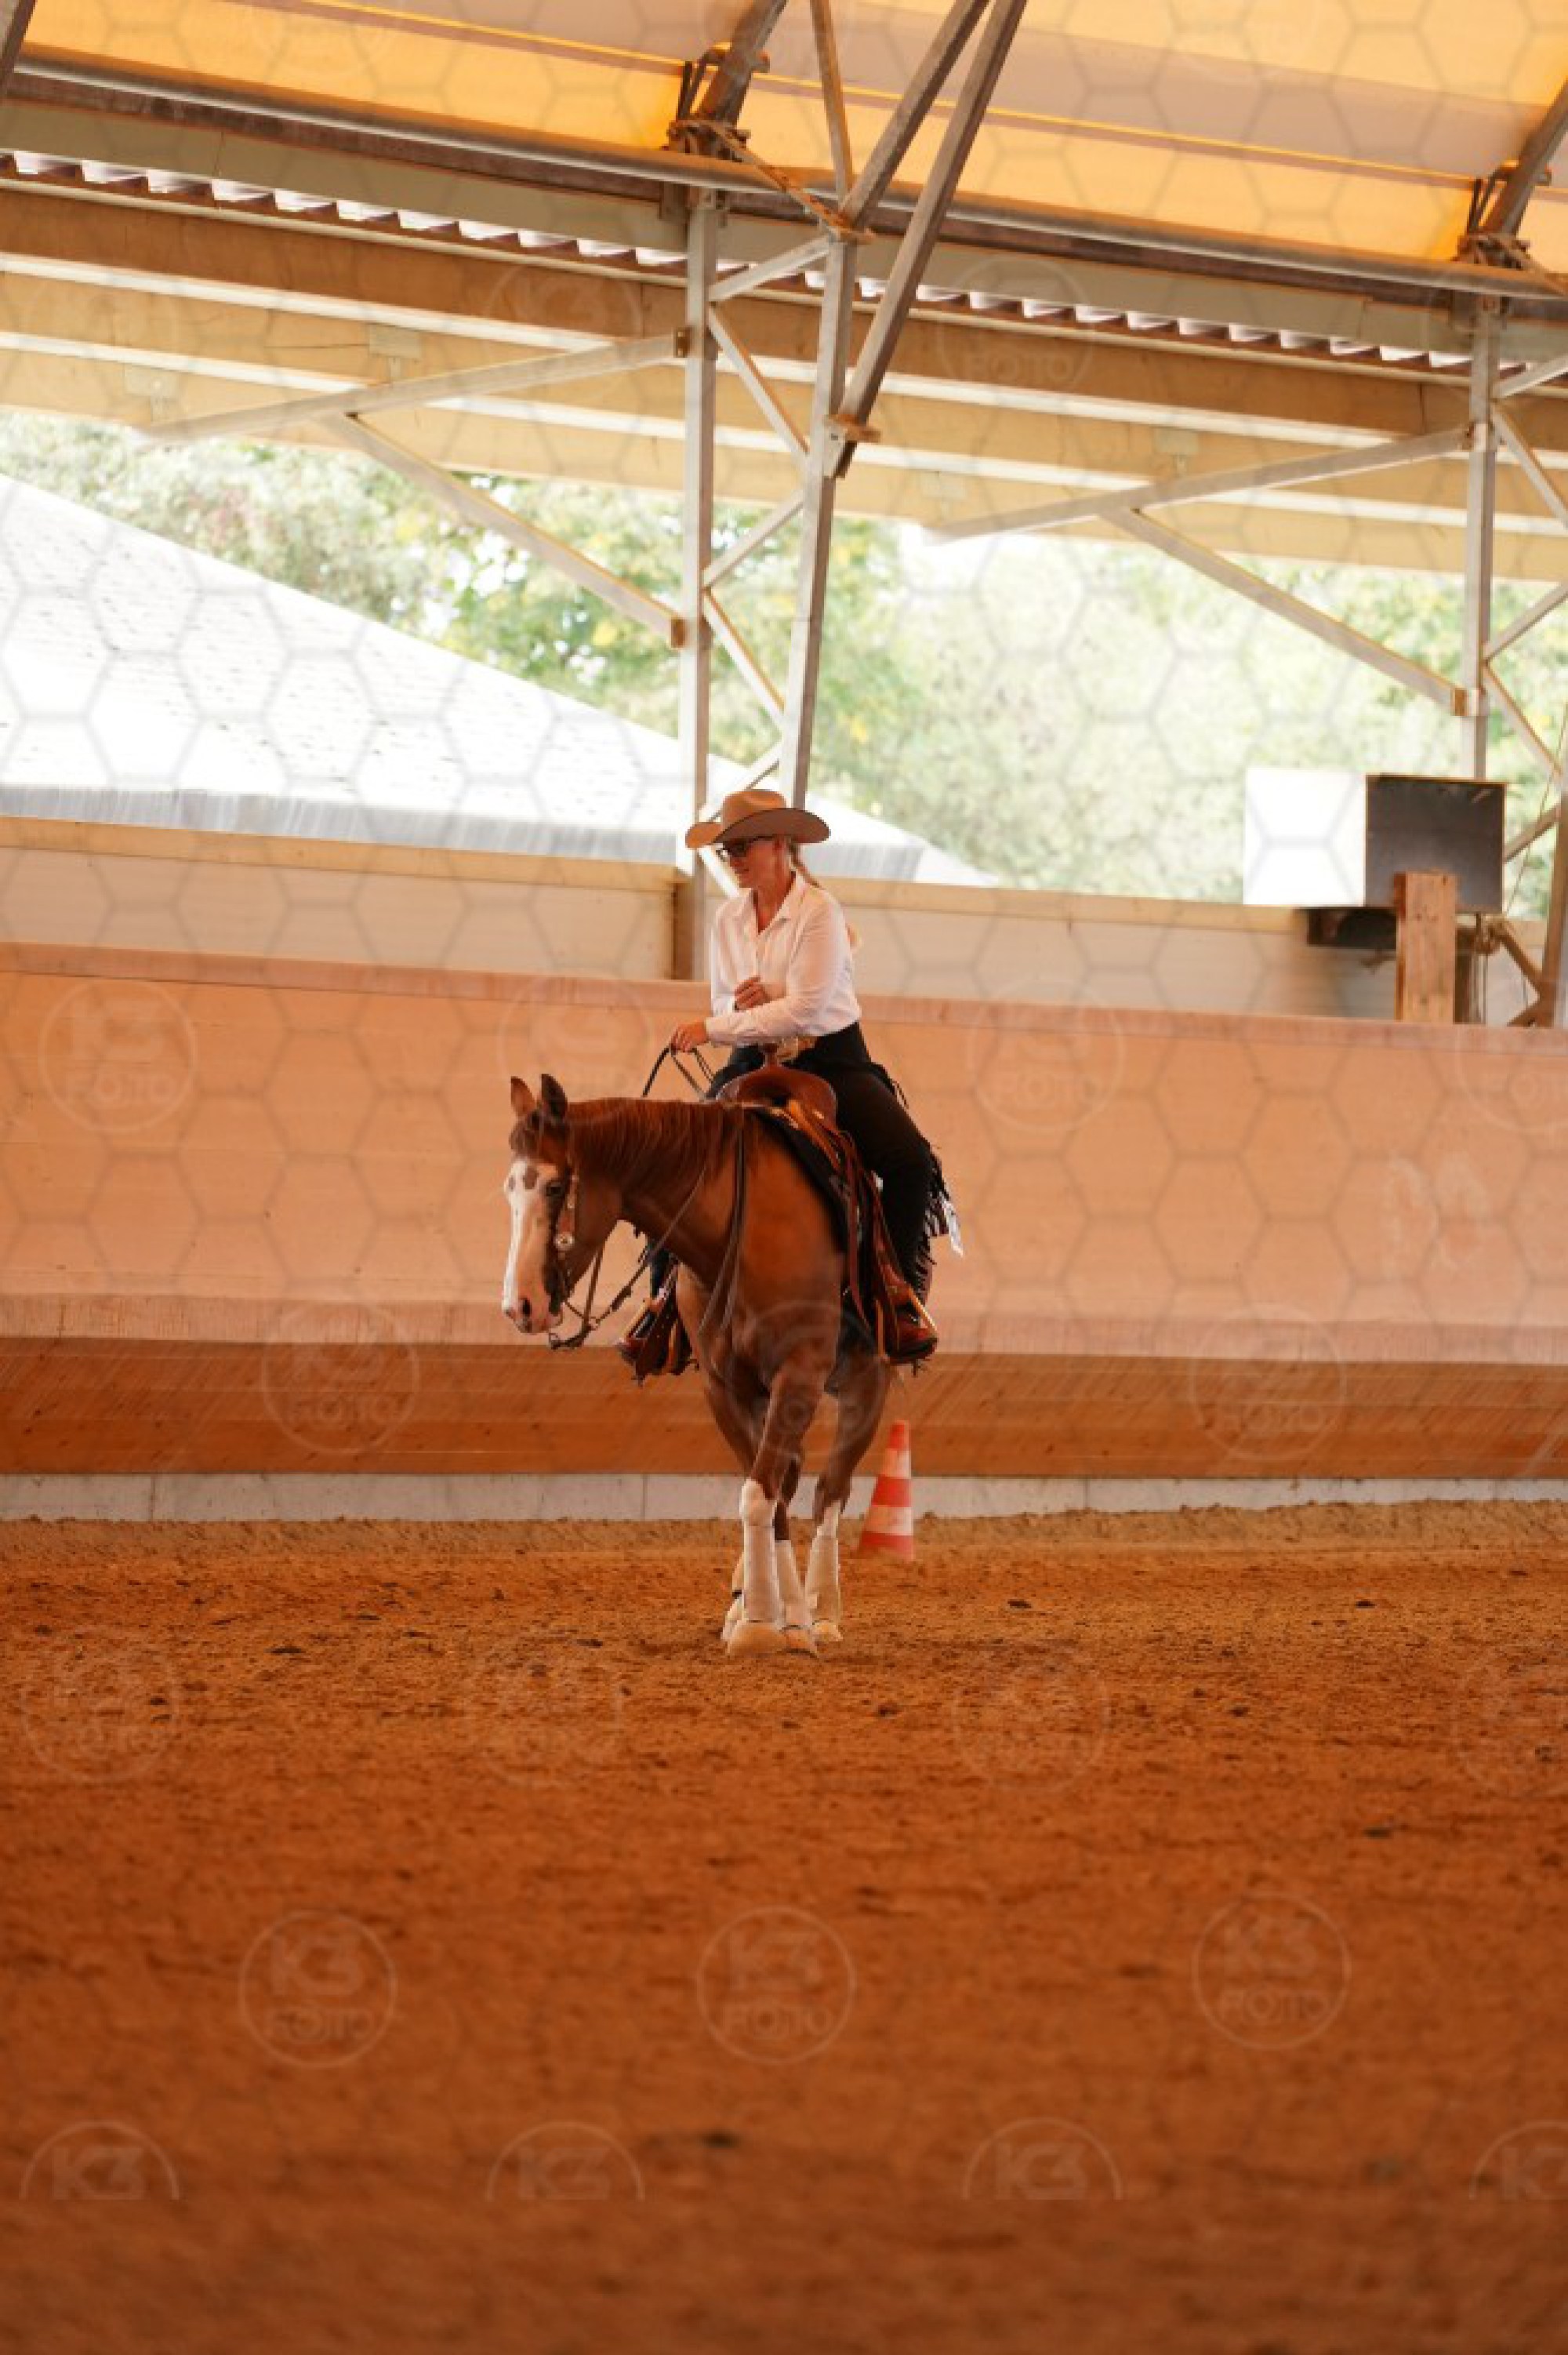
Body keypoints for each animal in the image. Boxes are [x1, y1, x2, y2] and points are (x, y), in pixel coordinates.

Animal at [501, 1073, 892, 1657]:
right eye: (511, 1189)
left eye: (552, 1187)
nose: (521, 1305)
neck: (739, 1231)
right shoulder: (724, 1386)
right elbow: (766, 1494)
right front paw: (769, 1615)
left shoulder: (799, 1372)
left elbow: (762, 1492)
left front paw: (772, 1622)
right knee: (794, 1477)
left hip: (866, 1385)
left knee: (831, 1491)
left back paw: (824, 1610)